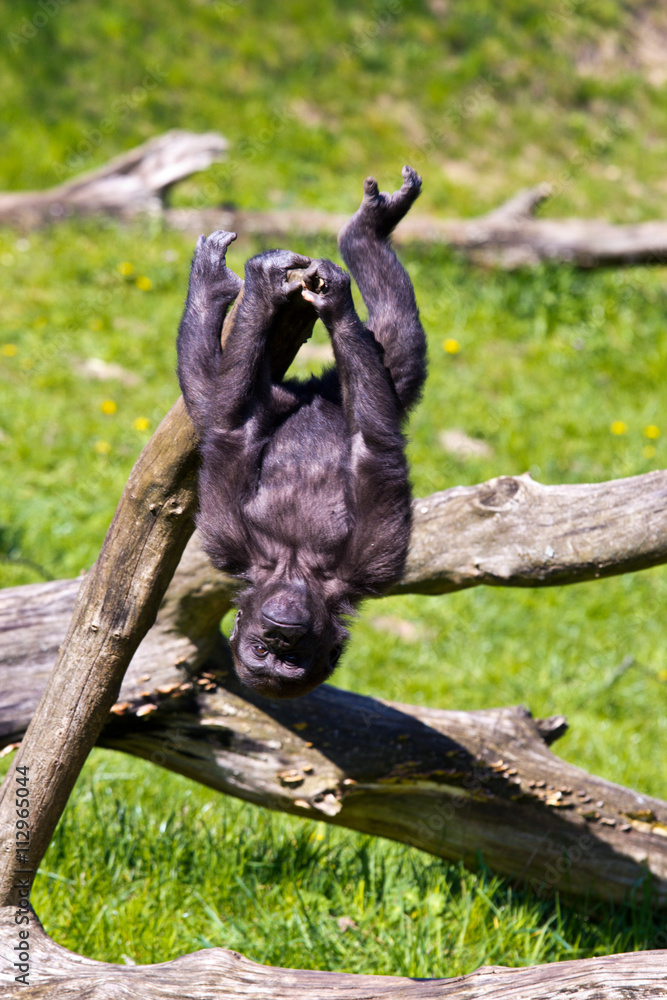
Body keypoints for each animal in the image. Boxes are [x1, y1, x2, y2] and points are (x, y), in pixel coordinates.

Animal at [176, 166, 426, 698]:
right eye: (261, 651)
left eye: (290, 660)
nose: (278, 632)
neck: (294, 567)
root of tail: (312, 391)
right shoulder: (229, 540)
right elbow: (231, 428)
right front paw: (262, 287)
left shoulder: (372, 563)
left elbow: (374, 447)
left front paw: (335, 304)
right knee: (207, 392)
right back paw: (214, 284)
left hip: (383, 376)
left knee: (400, 341)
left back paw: (366, 232)